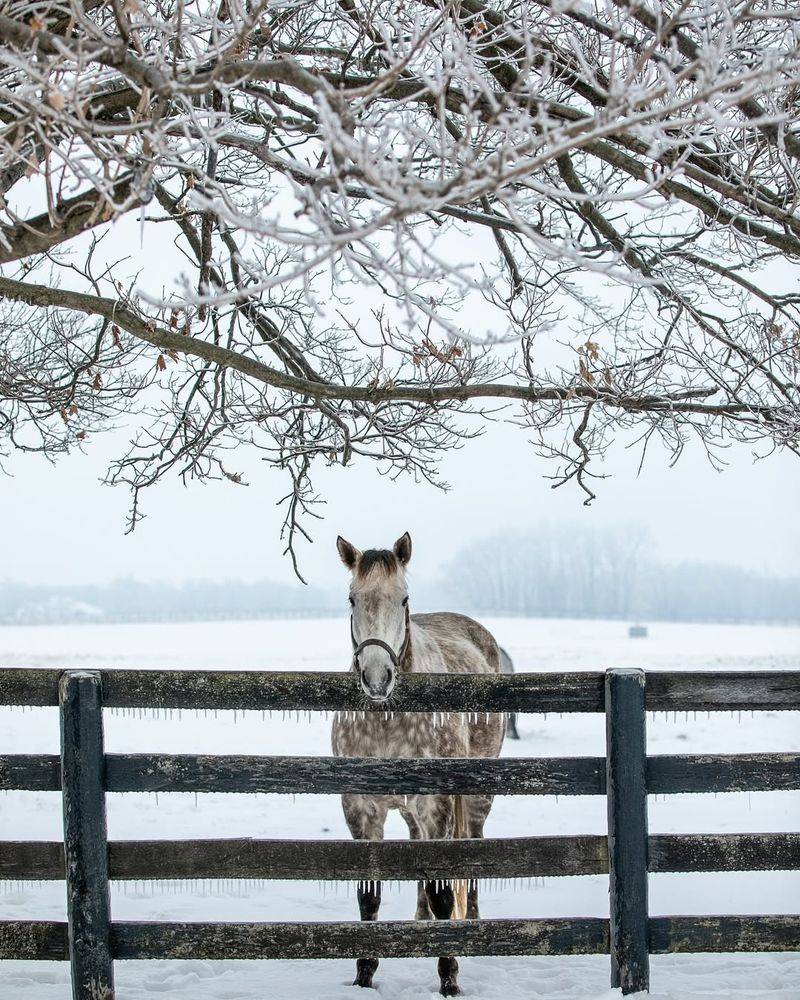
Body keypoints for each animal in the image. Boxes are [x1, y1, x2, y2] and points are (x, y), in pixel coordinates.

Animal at [326, 532, 504, 992]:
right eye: (352, 599)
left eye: (403, 598)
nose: (377, 678)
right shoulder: (360, 807)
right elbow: (369, 893)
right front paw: (365, 974)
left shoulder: (435, 803)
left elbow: (444, 890)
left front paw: (449, 978)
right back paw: (420, 920)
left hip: (476, 795)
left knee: (474, 848)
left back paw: (472, 924)